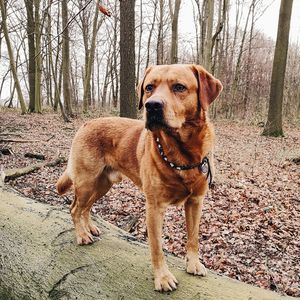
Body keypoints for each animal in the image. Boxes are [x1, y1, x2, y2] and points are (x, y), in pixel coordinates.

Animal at [56, 64, 223, 292]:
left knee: (86, 207)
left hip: (103, 184)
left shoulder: (196, 202)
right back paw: (81, 235)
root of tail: (86, 123)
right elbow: (157, 247)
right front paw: (162, 278)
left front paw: (194, 263)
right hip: (87, 182)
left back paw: (89, 227)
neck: (182, 153)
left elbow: (194, 237)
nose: (151, 106)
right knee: (74, 208)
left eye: (179, 87)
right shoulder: (154, 207)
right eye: (149, 88)